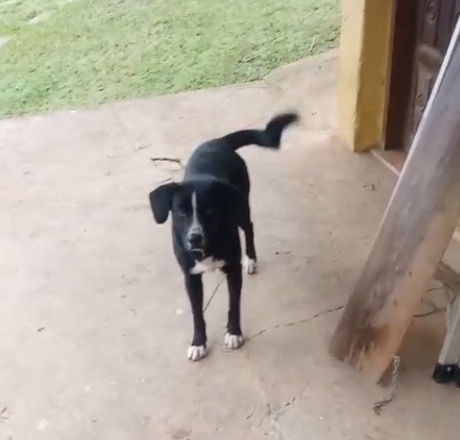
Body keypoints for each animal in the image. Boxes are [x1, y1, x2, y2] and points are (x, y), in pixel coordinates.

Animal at [148, 112, 299, 361]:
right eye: (180, 211)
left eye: (210, 210)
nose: (194, 238)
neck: (208, 245)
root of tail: (220, 141)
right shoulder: (190, 277)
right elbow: (197, 313)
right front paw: (198, 342)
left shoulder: (233, 271)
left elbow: (234, 304)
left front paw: (234, 333)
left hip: (241, 206)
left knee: (249, 227)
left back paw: (251, 260)